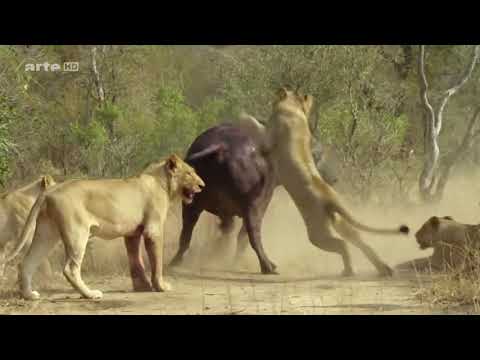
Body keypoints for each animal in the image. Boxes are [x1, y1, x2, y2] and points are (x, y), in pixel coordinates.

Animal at [1, 155, 204, 300]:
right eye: (189, 173)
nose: (202, 185)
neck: (162, 182)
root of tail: (50, 190)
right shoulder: (152, 229)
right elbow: (157, 261)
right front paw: (161, 287)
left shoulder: (132, 232)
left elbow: (135, 260)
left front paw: (142, 287)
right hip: (77, 233)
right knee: (70, 268)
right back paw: (90, 294)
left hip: (47, 233)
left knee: (26, 262)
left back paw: (30, 295)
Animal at [236, 88, 408, 278]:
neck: (293, 108)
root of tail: (331, 197)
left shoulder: (268, 138)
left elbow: (255, 124)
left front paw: (243, 116)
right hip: (339, 223)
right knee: (360, 240)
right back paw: (384, 268)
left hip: (317, 233)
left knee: (342, 244)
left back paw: (349, 270)